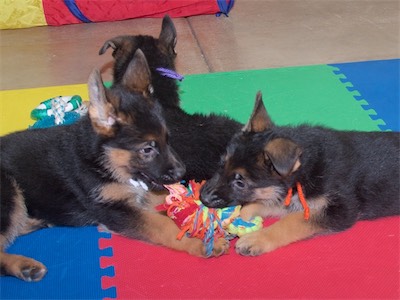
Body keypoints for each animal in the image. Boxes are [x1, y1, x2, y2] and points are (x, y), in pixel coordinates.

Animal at [0, 49, 228, 282]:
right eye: (147, 149)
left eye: (168, 139)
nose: (183, 173)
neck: (100, 160)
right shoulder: (115, 210)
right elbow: (162, 224)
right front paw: (198, 243)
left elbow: (166, 204)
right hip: (8, 189)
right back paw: (23, 265)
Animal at [202, 92, 398, 256]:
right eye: (221, 164)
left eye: (240, 182)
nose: (202, 197)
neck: (307, 166)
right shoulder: (285, 194)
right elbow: (261, 203)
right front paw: (235, 218)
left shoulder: (341, 209)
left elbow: (292, 221)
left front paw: (258, 238)